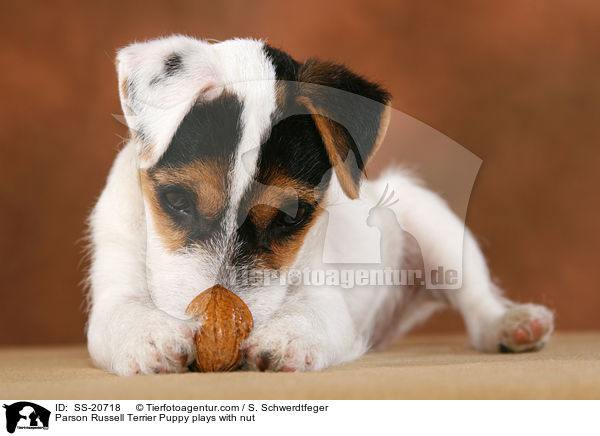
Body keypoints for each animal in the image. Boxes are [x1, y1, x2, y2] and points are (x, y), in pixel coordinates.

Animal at [84, 35, 552, 374]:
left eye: (290, 217)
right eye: (178, 200)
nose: (214, 333)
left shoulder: (325, 295)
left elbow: (311, 315)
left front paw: (287, 339)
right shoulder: (113, 284)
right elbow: (121, 315)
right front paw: (150, 339)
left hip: (438, 229)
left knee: (477, 301)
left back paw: (512, 325)